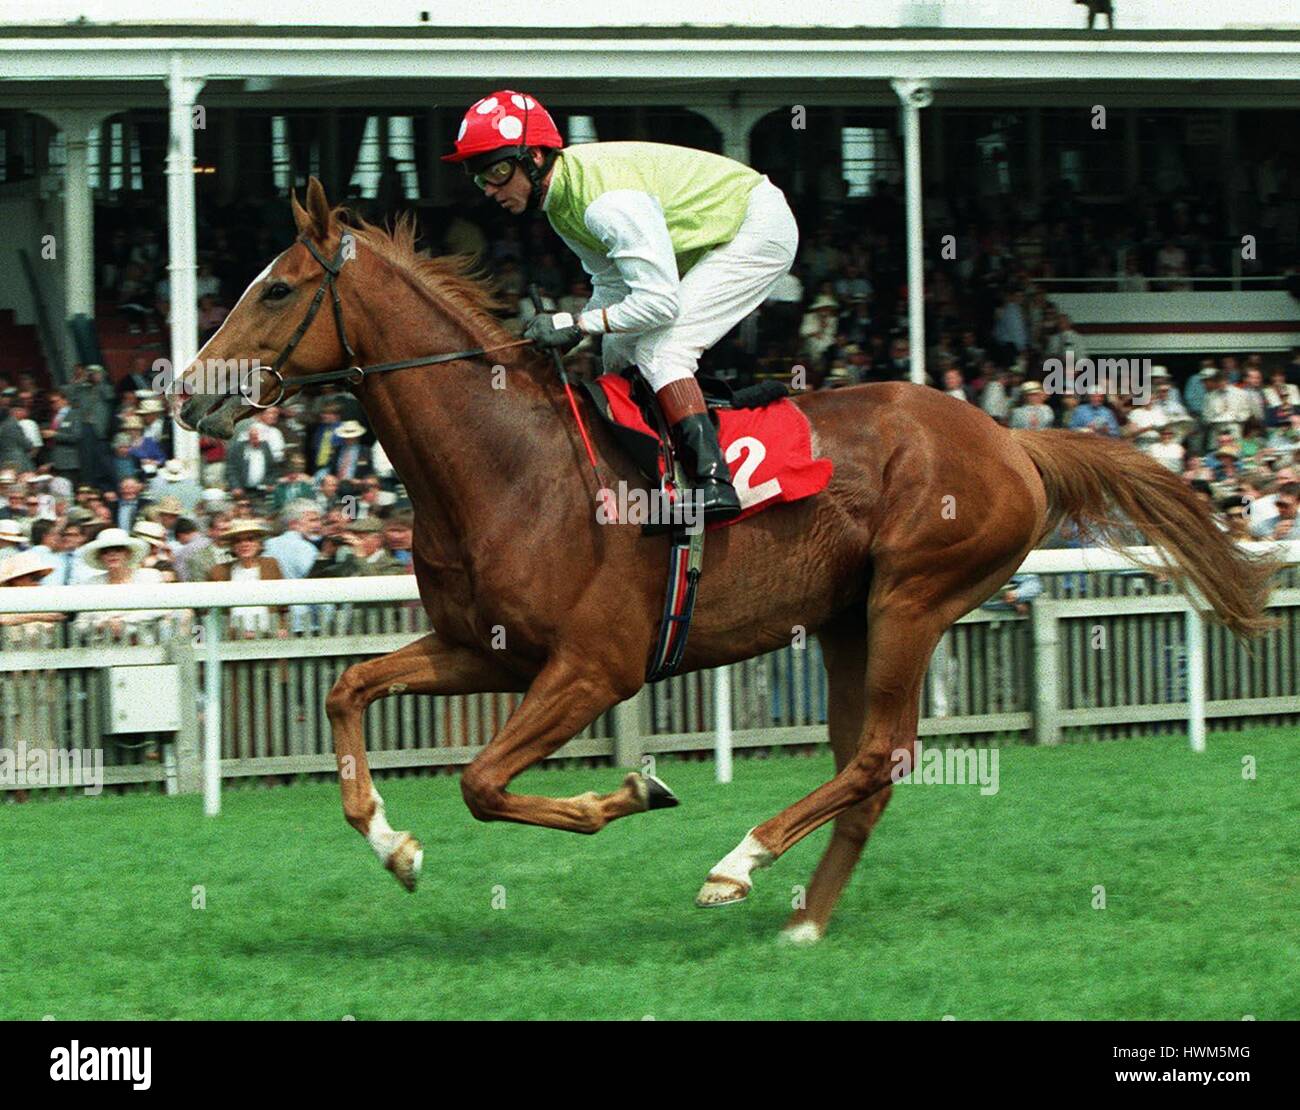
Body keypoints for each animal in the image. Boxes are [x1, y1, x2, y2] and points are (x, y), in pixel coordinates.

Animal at [176, 178, 1278, 942]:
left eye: (276, 288)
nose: (186, 394)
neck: (509, 465)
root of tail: (1012, 438)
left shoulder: (594, 668)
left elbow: (483, 781)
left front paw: (631, 793)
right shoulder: (483, 649)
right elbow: (348, 689)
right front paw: (392, 844)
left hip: (914, 597)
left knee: (879, 755)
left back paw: (740, 862)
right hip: (846, 619)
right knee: (865, 770)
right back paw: (804, 920)